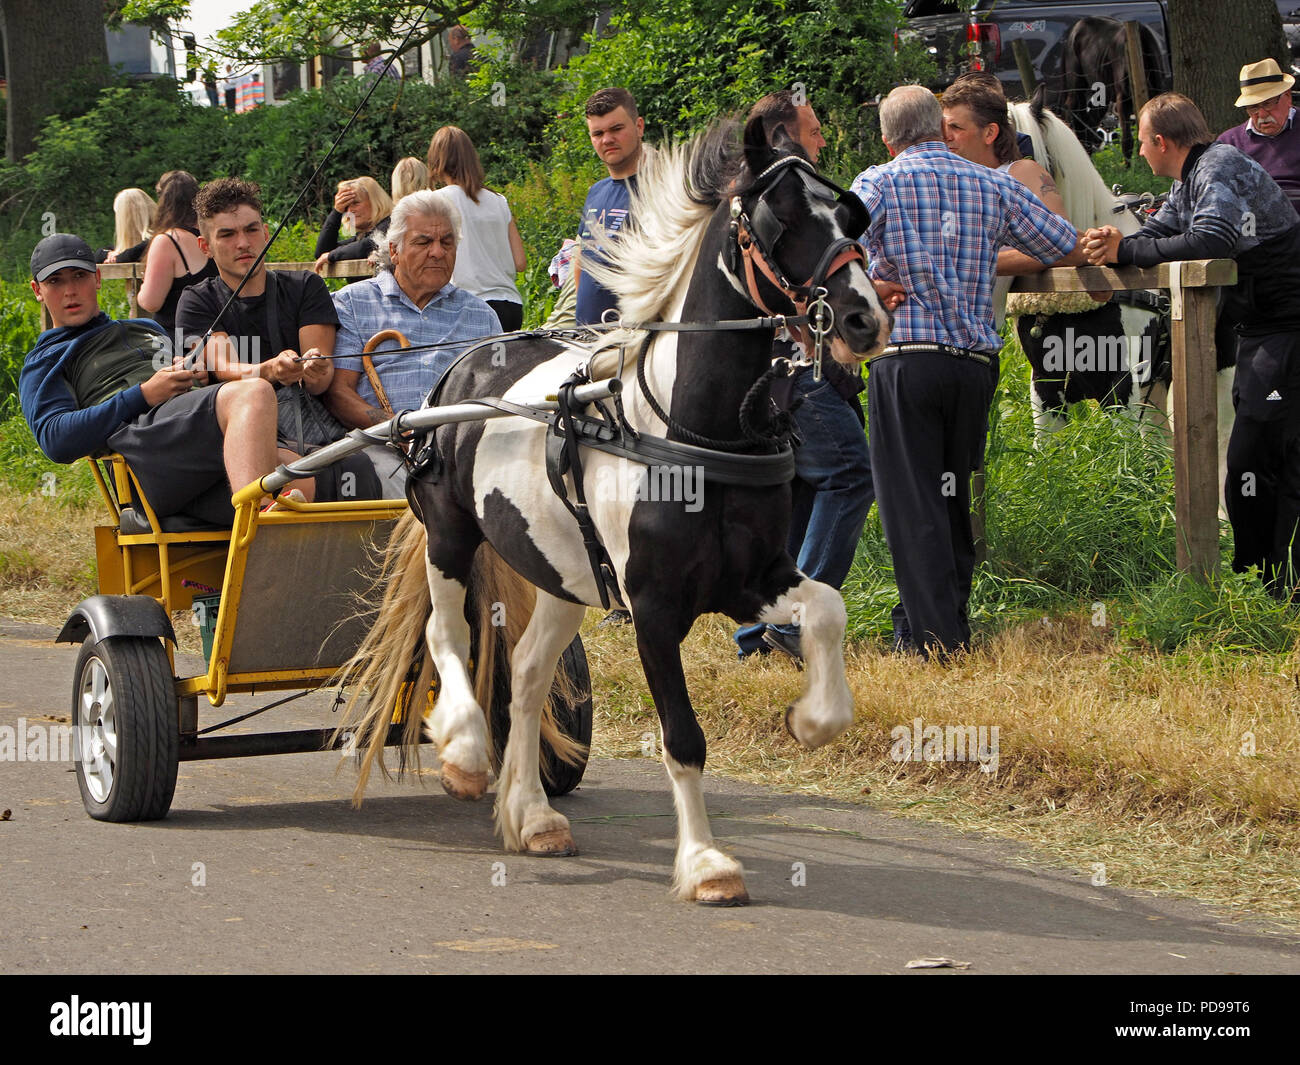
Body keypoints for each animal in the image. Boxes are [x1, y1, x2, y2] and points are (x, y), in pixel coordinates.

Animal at [332, 122, 894, 910]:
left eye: (849, 217)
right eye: (778, 221)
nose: (864, 317)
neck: (691, 433)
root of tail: (454, 374)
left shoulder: (755, 575)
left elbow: (828, 608)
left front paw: (813, 721)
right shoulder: (654, 606)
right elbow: (682, 738)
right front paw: (706, 863)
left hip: (566, 573)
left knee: (529, 672)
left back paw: (532, 816)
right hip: (450, 535)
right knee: (449, 634)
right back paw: (466, 752)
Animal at [1055, 15, 1170, 157]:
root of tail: (1072, 32)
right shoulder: (1122, 99)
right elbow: (1127, 141)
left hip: (1102, 93)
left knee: (1087, 120)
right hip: (1076, 82)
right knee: (1071, 109)